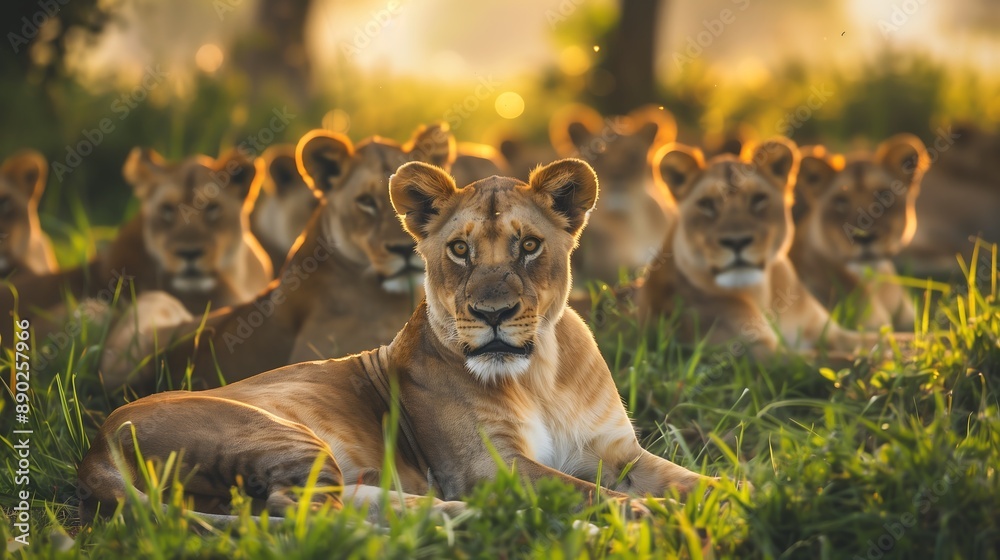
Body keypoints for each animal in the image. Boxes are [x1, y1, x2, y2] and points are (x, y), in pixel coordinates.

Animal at [78, 158, 708, 524]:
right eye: (460, 250)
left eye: (529, 246)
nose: (493, 314)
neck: (540, 373)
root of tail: (97, 444)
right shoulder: (489, 467)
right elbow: (585, 492)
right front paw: (642, 513)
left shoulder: (615, 451)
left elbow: (688, 479)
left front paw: (722, 495)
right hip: (277, 433)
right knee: (299, 509)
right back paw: (472, 519)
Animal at [636, 138, 877, 359]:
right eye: (706, 204)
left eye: (758, 199)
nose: (737, 242)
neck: (762, 295)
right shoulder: (751, 353)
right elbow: (843, 361)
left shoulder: (830, 332)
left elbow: (879, 341)